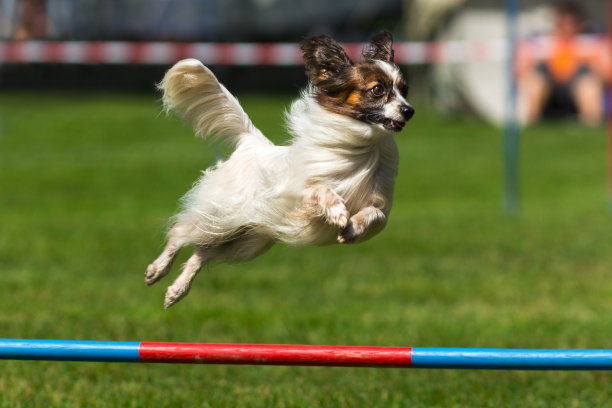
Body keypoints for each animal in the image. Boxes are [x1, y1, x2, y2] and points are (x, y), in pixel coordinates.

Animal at [145, 31, 414, 306]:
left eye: (404, 91)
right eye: (378, 90)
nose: (409, 110)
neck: (364, 148)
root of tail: (251, 146)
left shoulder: (379, 205)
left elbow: (375, 215)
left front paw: (353, 228)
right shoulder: (299, 195)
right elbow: (322, 190)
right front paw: (338, 211)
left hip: (247, 241)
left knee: (201, 252)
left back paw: (177, 290)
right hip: (221, 215)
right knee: (180, 234)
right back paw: (157, 270)